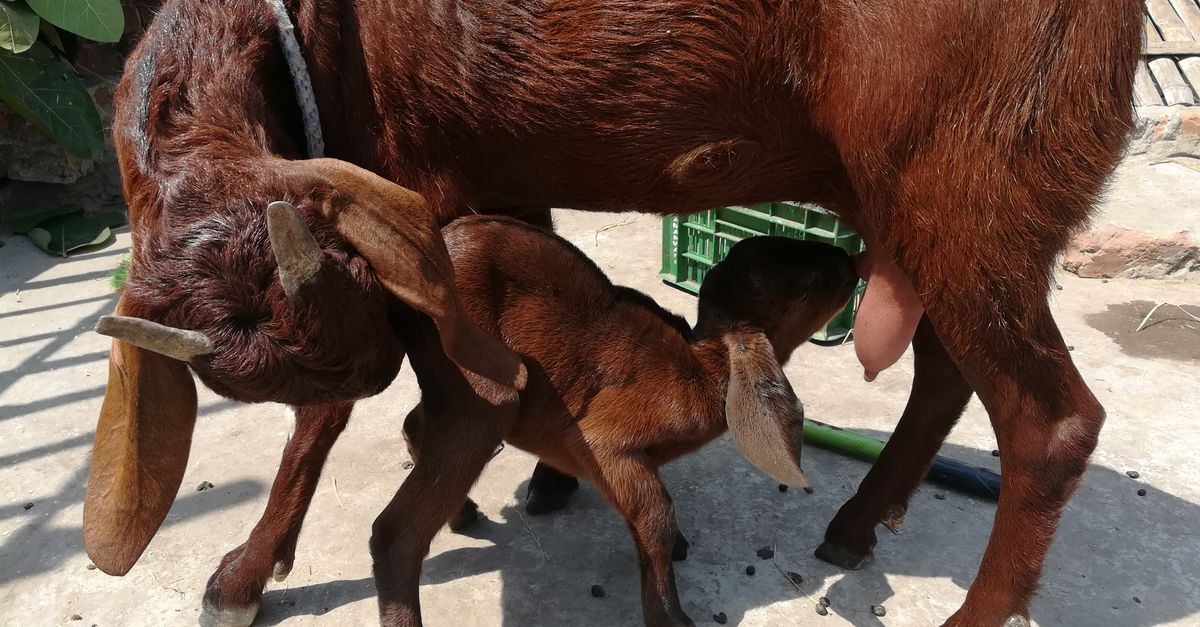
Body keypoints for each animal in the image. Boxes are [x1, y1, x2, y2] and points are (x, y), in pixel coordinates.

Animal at [392, 217, 858, 626]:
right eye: (804, 287)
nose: (852, 262)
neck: (701, 367)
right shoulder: (602, 441)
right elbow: (657, 515)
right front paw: (670, 616)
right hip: (475, 390)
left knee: (415, 423)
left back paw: (463, 513)